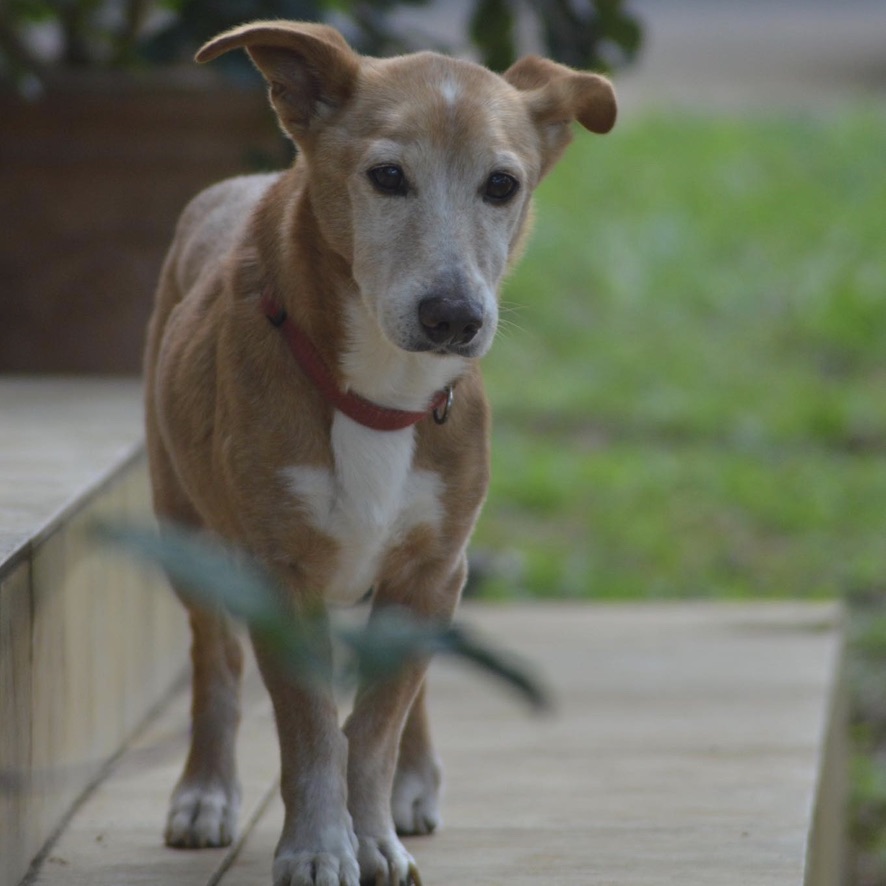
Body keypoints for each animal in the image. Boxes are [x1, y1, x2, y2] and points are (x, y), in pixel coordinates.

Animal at [146, 19, 616, 886]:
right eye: (388, 176)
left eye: (502, 186)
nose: (454, 316)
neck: (382, 395)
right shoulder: (279, 568)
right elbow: (310, 729)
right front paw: (317, 846)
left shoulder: (434, 567)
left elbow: (373, 725)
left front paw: (371, 838)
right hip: (182, 523)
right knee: (215, 661)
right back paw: (205, 792)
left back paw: (414, 783)